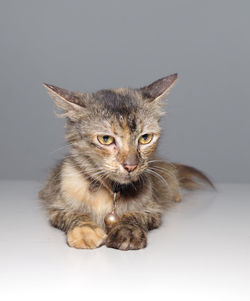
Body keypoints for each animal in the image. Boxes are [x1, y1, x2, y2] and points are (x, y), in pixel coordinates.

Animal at [39, 74, 213, 250]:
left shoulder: (152, 209)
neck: (111, 193)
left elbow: (134, 215)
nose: (131, 166)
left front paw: (127, 231)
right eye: (106, 139)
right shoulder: (58, 207)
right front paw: (85, 231)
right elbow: (75, 214)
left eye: (145, 138)